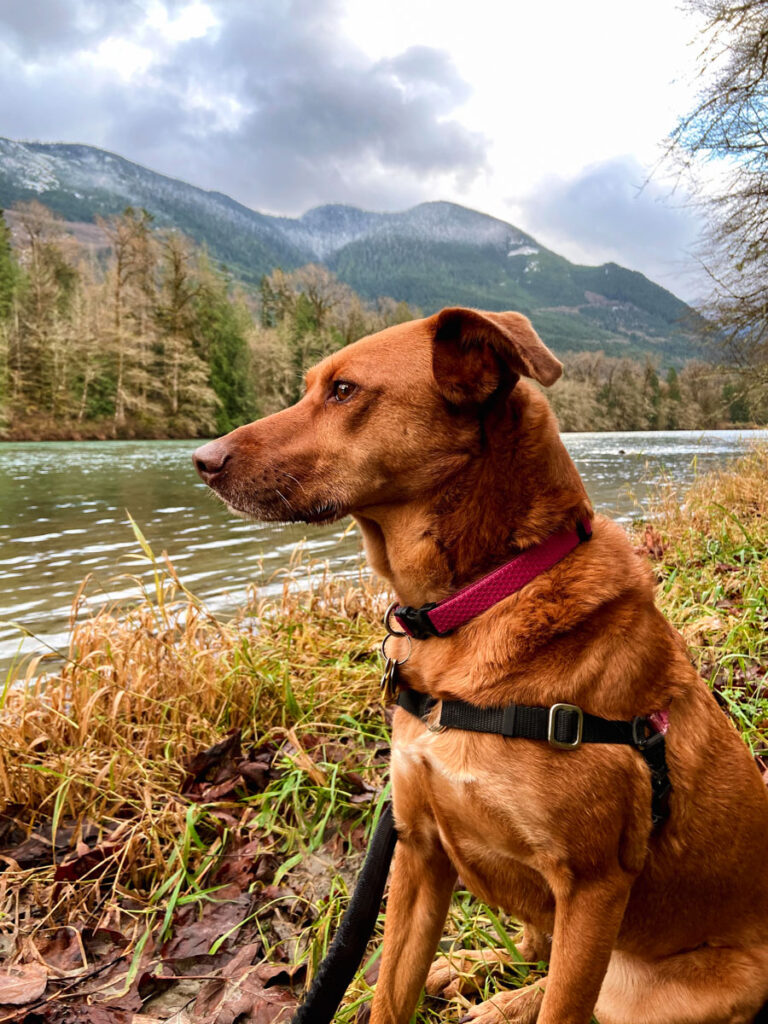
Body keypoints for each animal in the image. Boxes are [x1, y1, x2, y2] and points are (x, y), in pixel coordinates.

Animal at [193, 309, 768, 1024]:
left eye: (344, 391)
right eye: (310, 388)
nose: (203, 461)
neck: (480, 600)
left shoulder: (593, 886)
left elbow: (565, 1005)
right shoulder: (417, 851)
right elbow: (391, 993)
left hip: (661, 986)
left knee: (580, 988)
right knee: (534, 948)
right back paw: (477, 971)